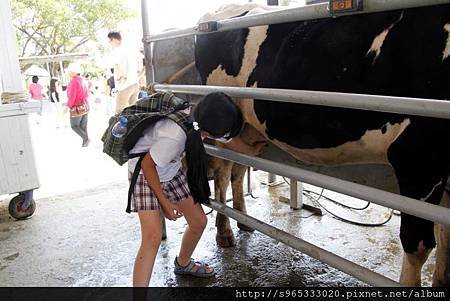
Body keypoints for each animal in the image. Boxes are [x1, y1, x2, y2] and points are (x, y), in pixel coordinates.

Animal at [195, 2, 450, 286]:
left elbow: (446, 239)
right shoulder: (416, 157)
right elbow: (419, 244)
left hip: (248, 130)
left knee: (237, 172)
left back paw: (244, 220)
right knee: (222, 173)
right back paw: (224, 231)